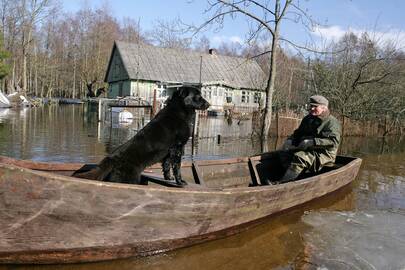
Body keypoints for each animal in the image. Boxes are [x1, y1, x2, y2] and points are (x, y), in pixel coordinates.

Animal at [73, 86, 210, 186]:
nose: (208, 104)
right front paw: (180, 182)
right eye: (198, 96)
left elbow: (166, 166)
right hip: (130, 178)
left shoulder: (169, 152)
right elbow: (177, 167)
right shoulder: (177, 147)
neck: (179, 112)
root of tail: (111, 158)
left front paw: (169, 178)